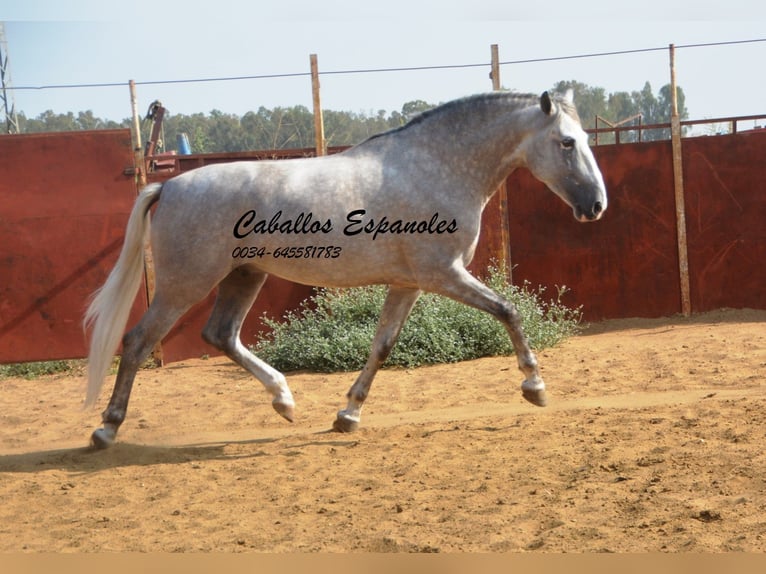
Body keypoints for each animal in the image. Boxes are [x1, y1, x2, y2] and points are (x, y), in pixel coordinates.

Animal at [84, 90, 608, 450]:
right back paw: (106, 428)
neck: (435, 168)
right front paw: (535, 387)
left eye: (585, 140)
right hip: (185, 284)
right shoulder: (444, 274)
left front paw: (347, 415)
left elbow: (382, 346)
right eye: (566, 142)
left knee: (221, 335)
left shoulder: (407, 284)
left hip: (243, 276)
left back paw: (285, 401)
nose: (596, 206)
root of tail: (169, 187)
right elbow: (508, 311)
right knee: (137, 341)